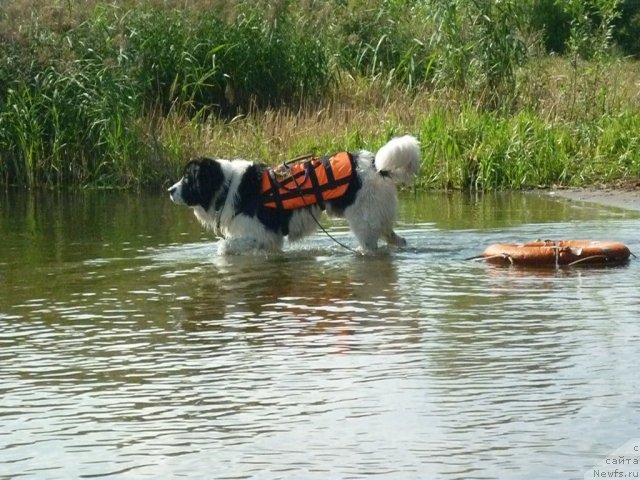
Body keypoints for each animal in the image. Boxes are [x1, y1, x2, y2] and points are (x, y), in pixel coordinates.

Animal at [168, 135, 422, 255]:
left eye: (188, 179)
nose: (170, 190)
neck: (228, 186)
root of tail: (375, 165)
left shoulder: (259, 234)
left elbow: (223, 248)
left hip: (364, 223)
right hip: (377, 219)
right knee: (395, 238)